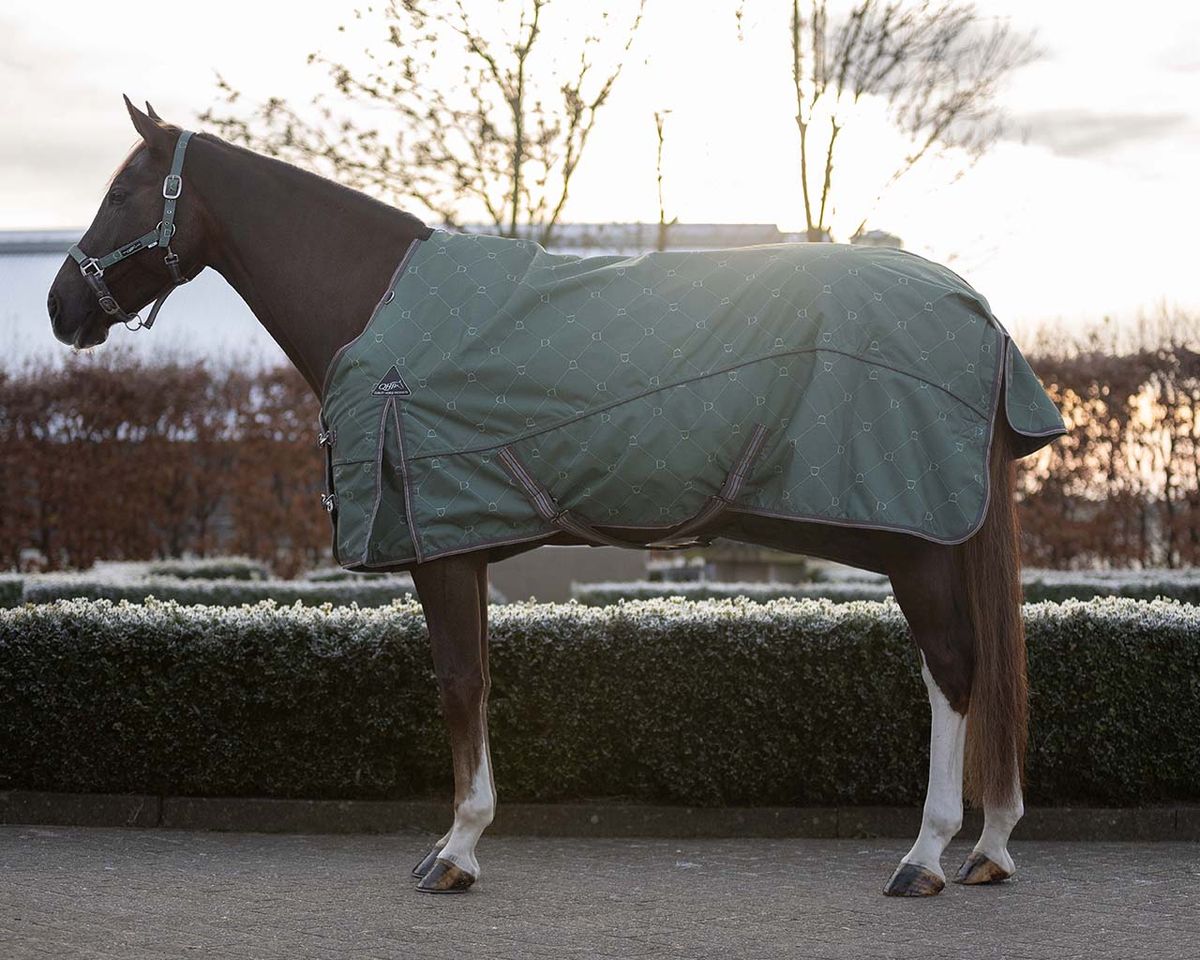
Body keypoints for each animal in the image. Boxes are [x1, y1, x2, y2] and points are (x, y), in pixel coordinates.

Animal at [49, 101, 1041, 897]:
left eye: (122, 194)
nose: (64, 308)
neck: (376, 303)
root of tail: (982, 313)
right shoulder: (468, 547)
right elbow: (479, 684)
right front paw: (458, 841)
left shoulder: (441, 556)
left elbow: (459, 685)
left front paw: (456, 851)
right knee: (987, 667)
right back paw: (988, 848)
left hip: (915, 542)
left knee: (954, 669)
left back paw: (926, 856)